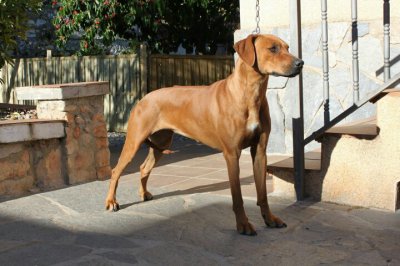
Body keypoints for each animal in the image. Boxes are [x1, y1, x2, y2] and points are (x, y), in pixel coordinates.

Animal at [106, 33, 304, 235]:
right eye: (273, 49)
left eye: (287, 47)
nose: (300, 63)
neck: (250, 94)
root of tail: (144, 98)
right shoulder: (232, 153)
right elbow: (237, 197)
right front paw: (243, 224)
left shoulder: (260, 151)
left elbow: (262, 193)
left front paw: (270, 219)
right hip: (134, 141)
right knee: (116, 171)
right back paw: (111, 202)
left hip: (161, 143)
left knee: (144, 167)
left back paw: (143, 193)